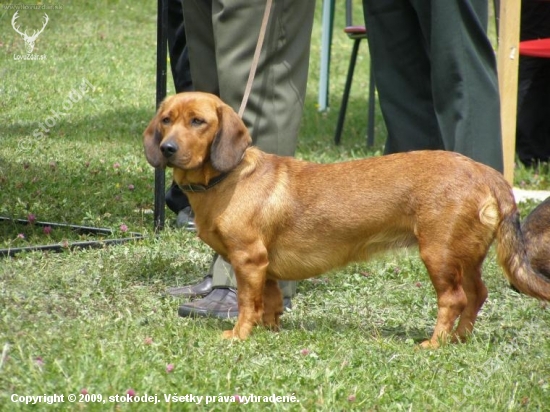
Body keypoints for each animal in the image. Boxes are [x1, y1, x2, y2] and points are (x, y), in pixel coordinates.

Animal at [146, 92, 550, 348]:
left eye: (198, 121)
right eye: (166, 120)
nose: (167, 149)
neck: (227, 180)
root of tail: (486, 172)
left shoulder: (248, 260)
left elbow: (248, 302)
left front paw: (239, 335)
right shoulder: (267, 268)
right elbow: (271, 303)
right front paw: (271, 333)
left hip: (439, 254)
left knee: (454, 299)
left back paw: (434, 343)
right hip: (464, 256)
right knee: (477, 295)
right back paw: (460, 339)